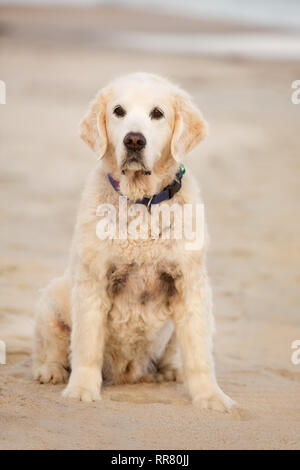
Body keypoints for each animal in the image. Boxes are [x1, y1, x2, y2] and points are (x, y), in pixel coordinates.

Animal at [32, 72, 234, 412]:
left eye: (157, 113)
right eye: (118, 111)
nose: (134, 140)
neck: (142, 202)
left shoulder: (190, 284)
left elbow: (199, 353)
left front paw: (210, 396)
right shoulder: (92, 280)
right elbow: (87, 345)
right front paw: (81, 390)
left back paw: (170, 372)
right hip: (51, 301)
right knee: (53, 346)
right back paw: (50, 370)